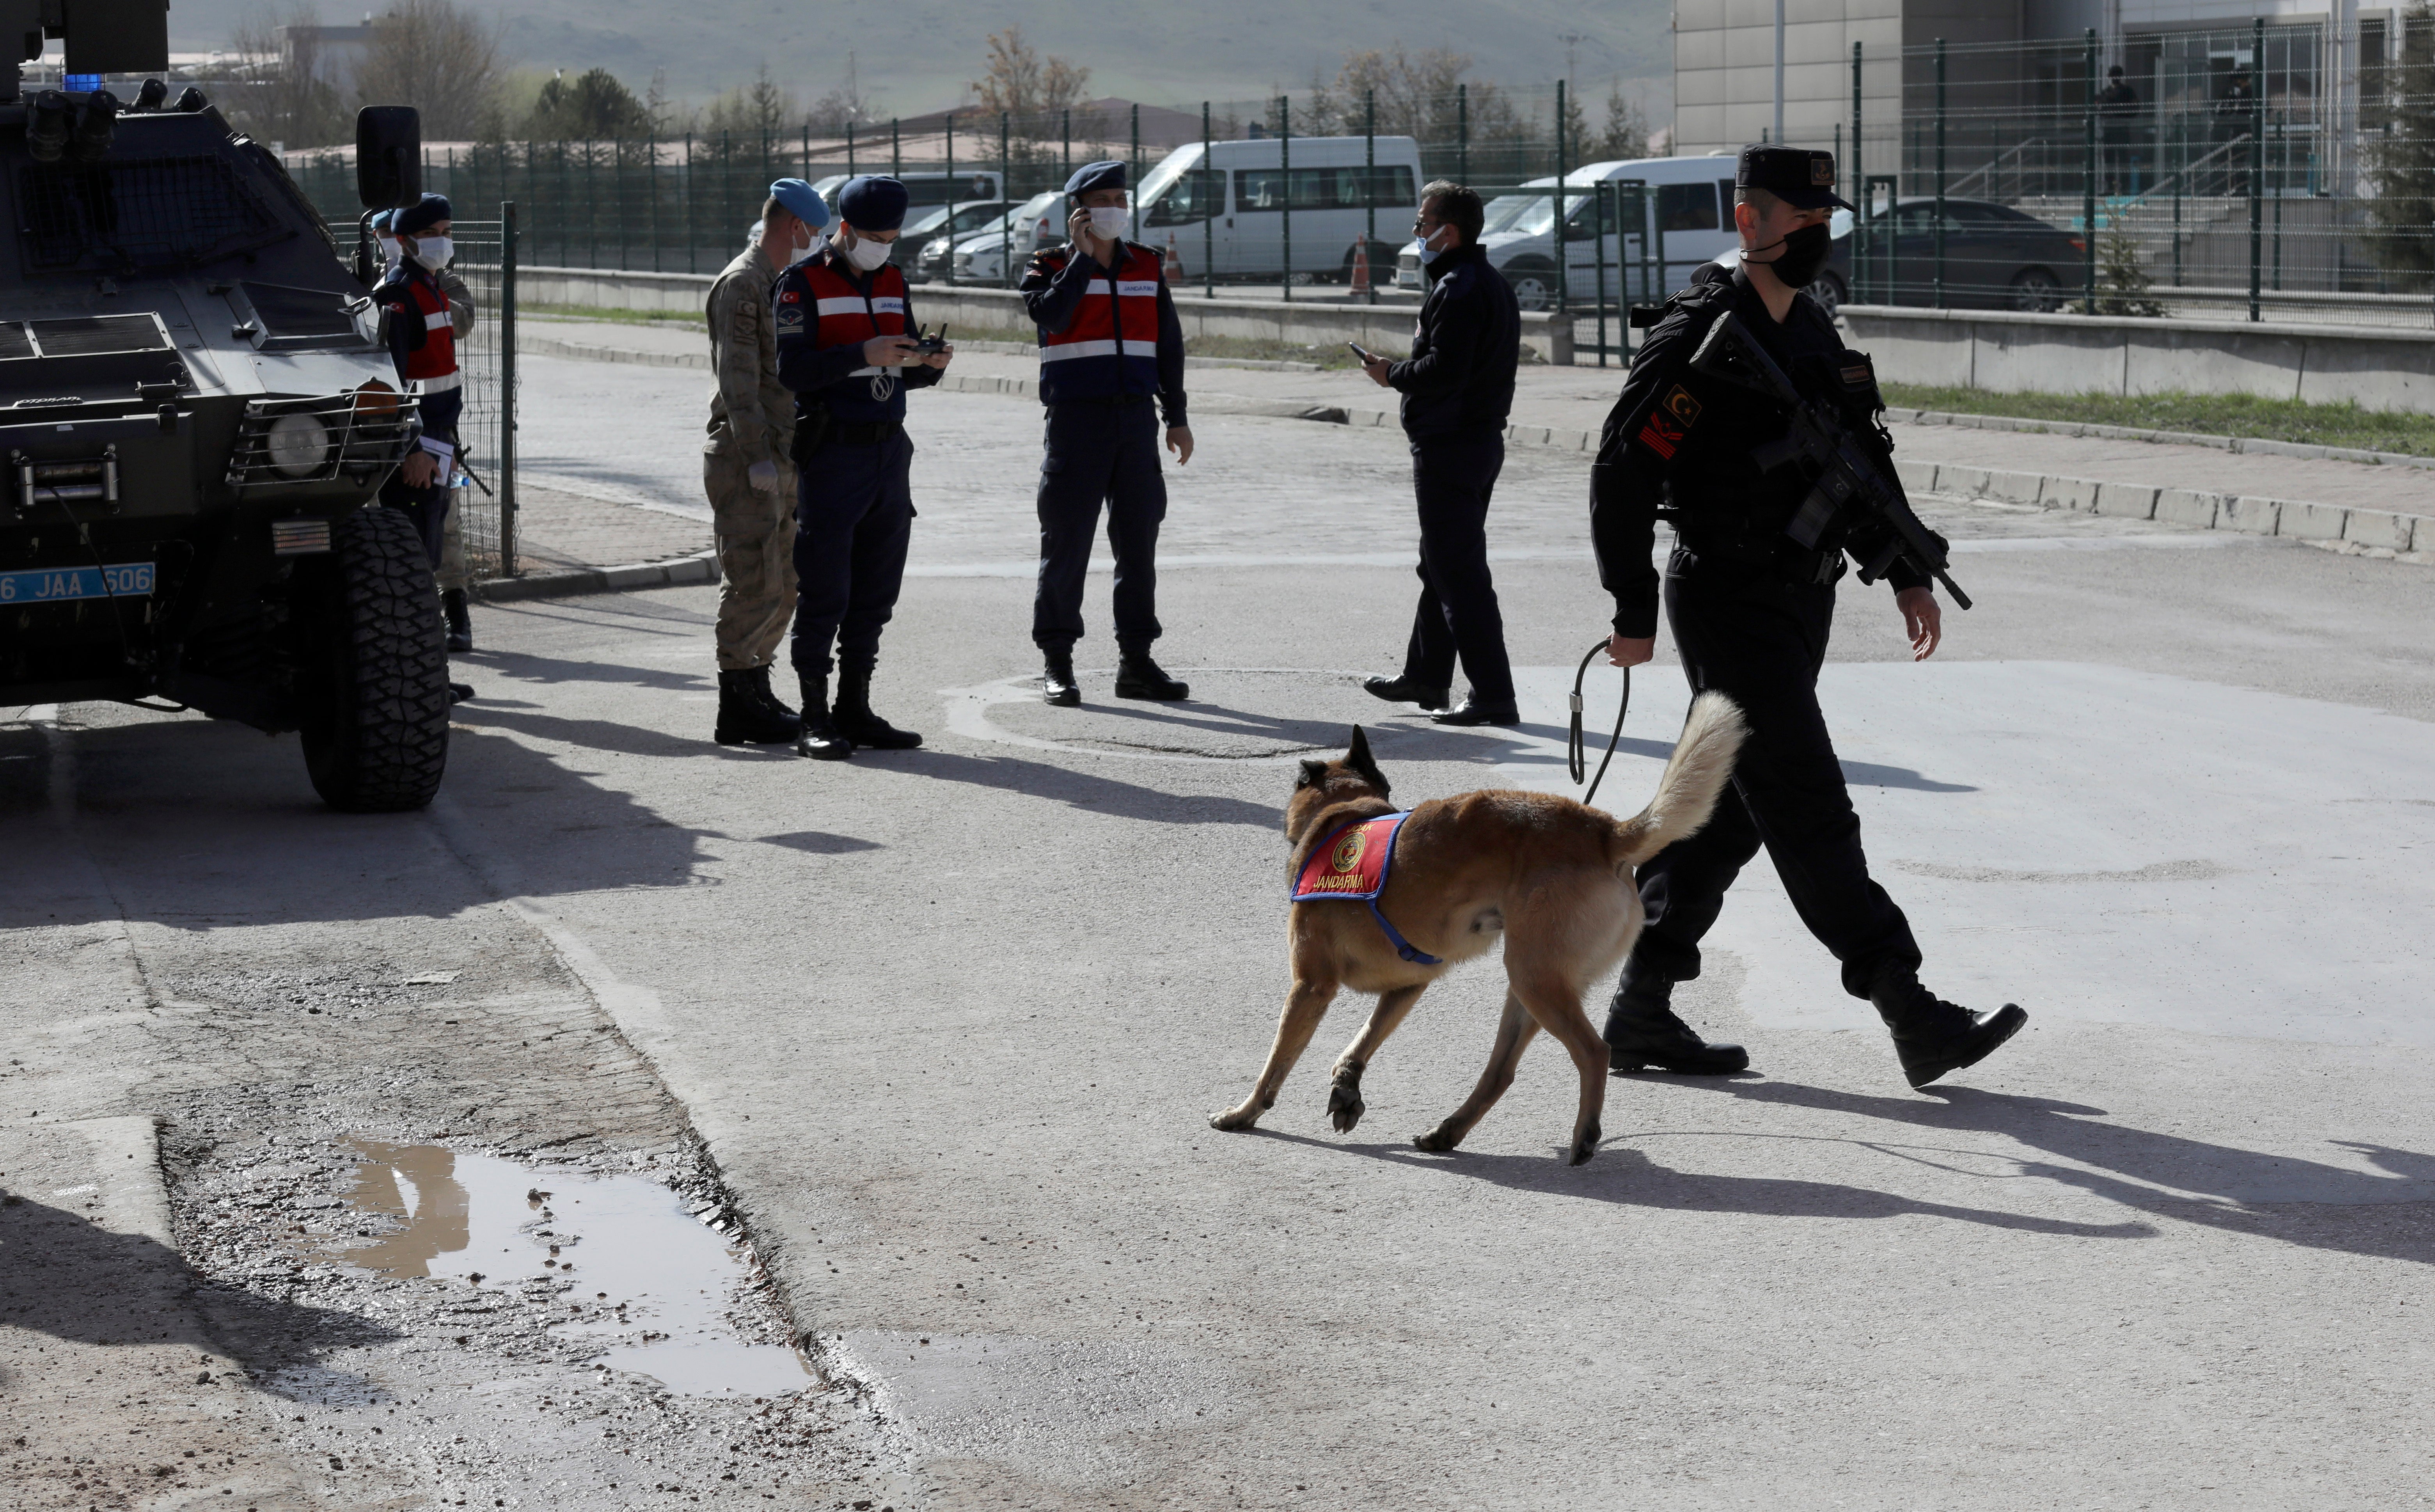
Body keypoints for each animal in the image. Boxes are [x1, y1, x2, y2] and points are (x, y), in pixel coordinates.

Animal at [1208, 696, 1743, 1168]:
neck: (1350, 810)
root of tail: (1602, 831)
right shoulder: (1407, 987)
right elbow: (1361, 1040)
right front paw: (1346, 1086)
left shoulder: (1310, 987)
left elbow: (1276, 1063)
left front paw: (1245, 1113)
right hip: (1530, 986)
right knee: (1501, 1072)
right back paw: (1449, 1132)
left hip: (1533, 978)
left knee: (1594, 1052)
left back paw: (1584, 1136)